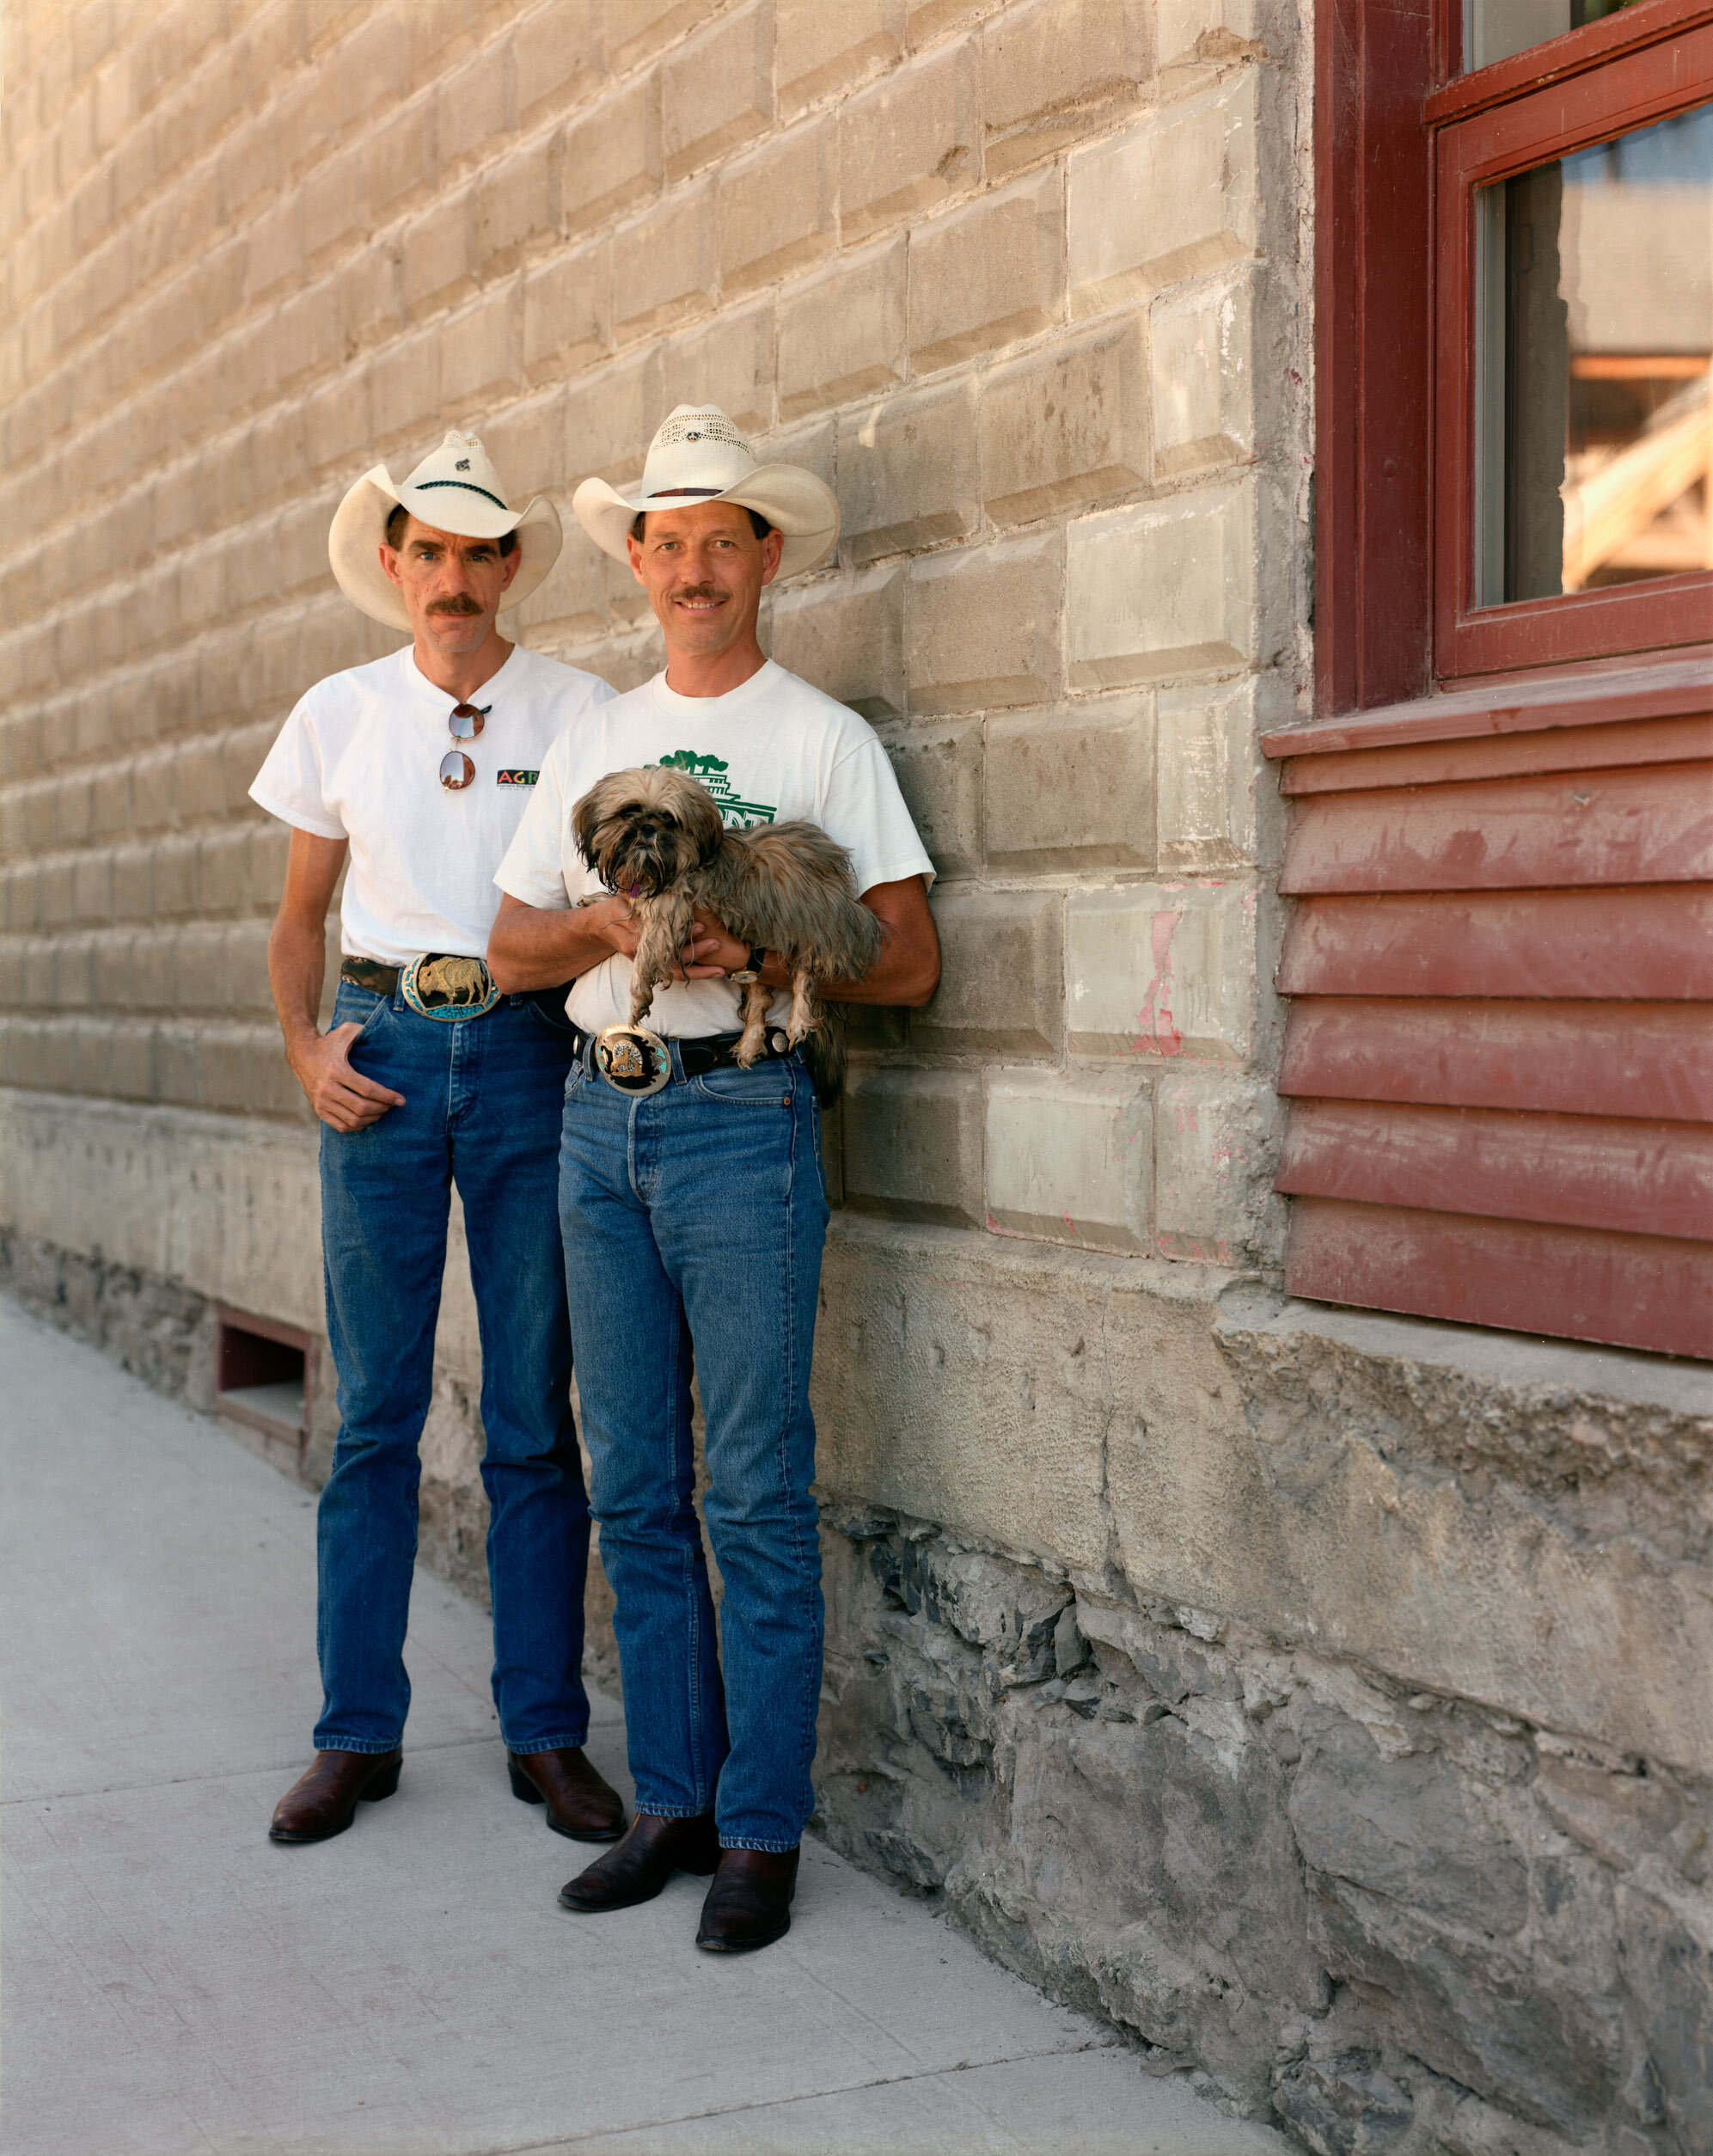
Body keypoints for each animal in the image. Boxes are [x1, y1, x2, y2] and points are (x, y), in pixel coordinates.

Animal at [577, 763, 883, 1095]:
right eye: (629, 811)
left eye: (668, 819)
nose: (647, 827)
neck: (656, 867)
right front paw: (594, 900)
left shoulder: (669, 913)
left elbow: (645, 957)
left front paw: (637, 998)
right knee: (760, 999)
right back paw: (750, 1043)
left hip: (811, 919)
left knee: (806, 971)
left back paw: (799, 1020)